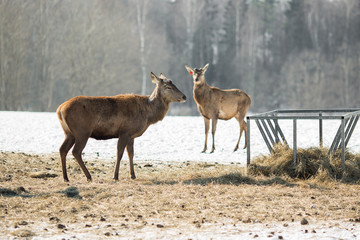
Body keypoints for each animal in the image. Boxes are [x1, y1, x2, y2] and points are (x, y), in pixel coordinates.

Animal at [57, 72, 186, 181]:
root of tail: (60, 109)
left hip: (69, 133)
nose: (184, 96)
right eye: (168, 87)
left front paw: (133, 175)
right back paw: (88, 176)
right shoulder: (125, 131)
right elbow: (119, 153)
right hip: (82, 132)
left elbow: (131, 154)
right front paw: (115, 176)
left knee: (62, 149)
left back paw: (65, 177)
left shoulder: (131, 135)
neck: (148, 116)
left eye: (174, 84)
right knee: (76, 151)